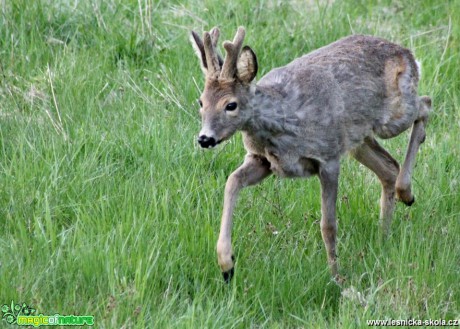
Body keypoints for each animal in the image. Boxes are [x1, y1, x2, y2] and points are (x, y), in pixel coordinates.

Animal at [190, 26, 432, 280]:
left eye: (231, 105)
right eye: (201, 101)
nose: (205, 138)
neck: (285, 120)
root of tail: (407, 54)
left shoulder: (328, 158)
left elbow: (328, 225)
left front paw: (336, 277)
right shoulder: (263, 161)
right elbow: (232, 181)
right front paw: (226, 264)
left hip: (392, 117)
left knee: (425, 104)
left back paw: (406, 193)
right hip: (358, 141)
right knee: (388, 167)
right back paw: (383, 237)